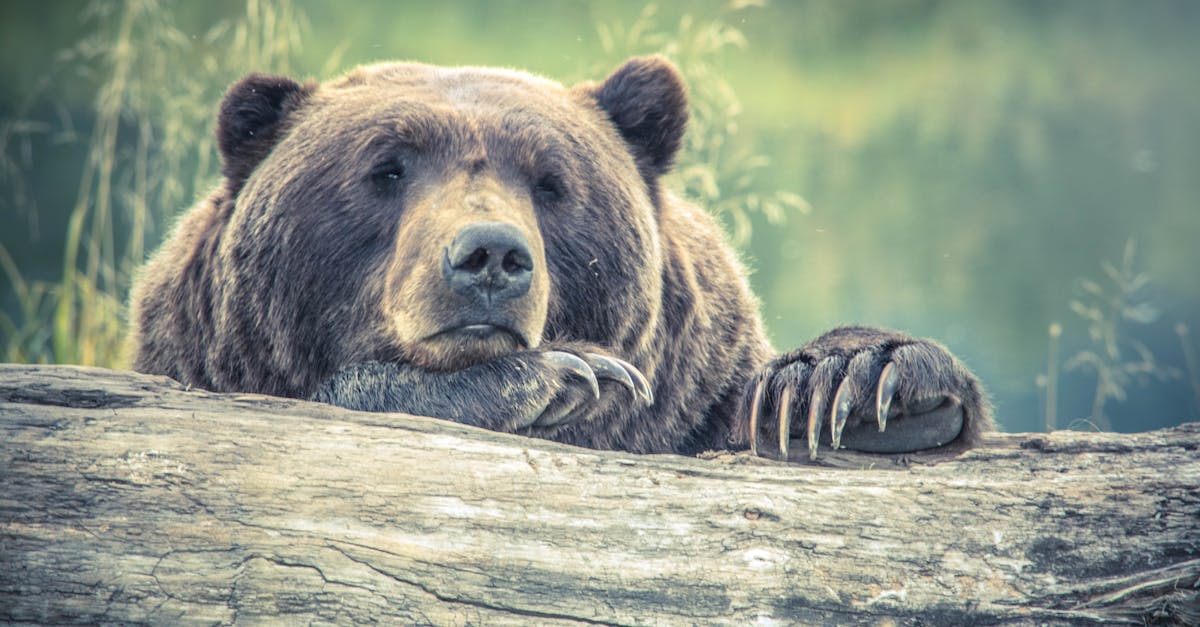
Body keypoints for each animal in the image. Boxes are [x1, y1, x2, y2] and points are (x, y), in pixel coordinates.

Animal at [129, 56, 992, 460]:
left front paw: (851, 383)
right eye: (386, 168)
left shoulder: (696, 393)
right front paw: (561, 376)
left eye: (551, 181)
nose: (490, 255)